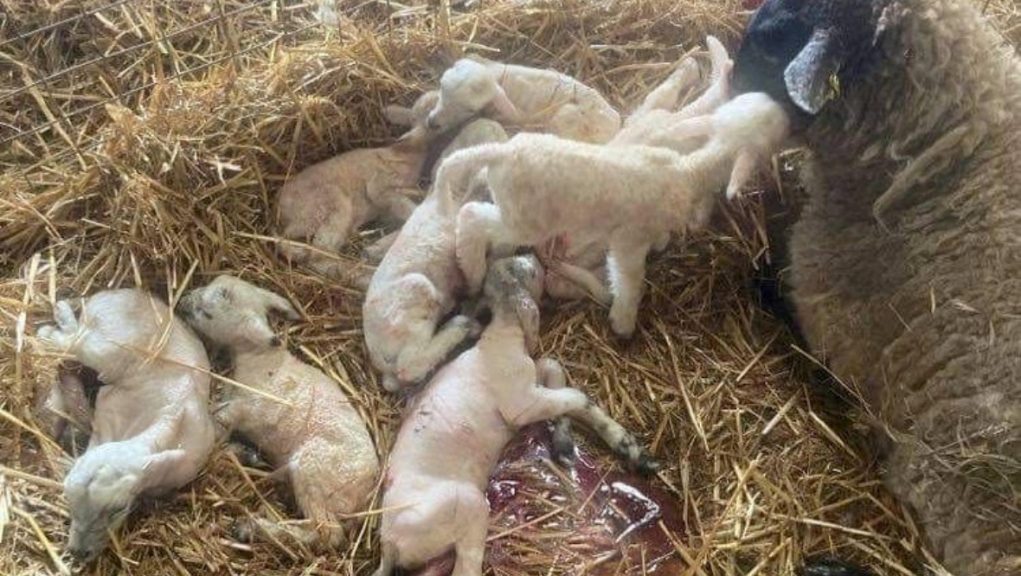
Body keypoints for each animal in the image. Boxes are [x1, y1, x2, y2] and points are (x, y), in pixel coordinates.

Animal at [35, 289, 215, 563]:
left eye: (118, 509)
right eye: (68, 499)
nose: (78, 553)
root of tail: (117, 293)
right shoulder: (107, 419)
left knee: (74, 338)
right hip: (105, 348)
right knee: (74, 338)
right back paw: (58, 314)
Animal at [177, 275, 379, 548]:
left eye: (207, 313)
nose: (182, 301)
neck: (260, 359)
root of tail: (368, 493)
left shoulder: (245, 409)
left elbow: (217, 424)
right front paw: (243, 452)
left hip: (314, 470)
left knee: (327, 532)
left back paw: (252, 528)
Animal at [372, 255, 657, 576]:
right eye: (531, 273)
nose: (535, 257)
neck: (500, 338)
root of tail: (390, 542)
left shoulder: (532, 379)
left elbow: (553, 367)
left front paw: (568, 443)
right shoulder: (522, 403)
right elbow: (574, 397)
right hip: (467, 506)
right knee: (466, 566)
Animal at [441, 92, 790, 338]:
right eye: (772, 133)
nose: (785, 108)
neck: (688, 173)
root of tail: (502, 152)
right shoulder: (629, 240)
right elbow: (629, 278)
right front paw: (623, 322)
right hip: (525, 220)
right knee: (471, 217)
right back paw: (472, 273)